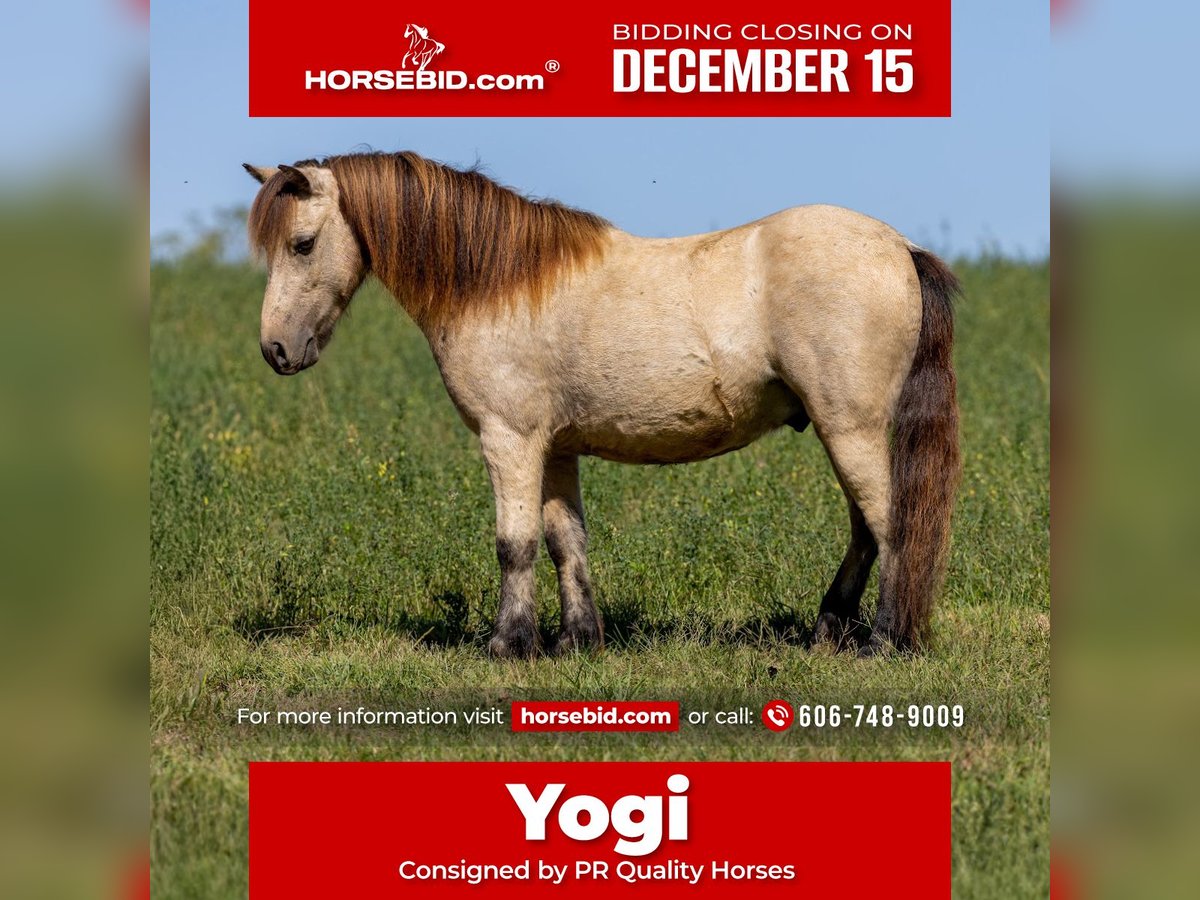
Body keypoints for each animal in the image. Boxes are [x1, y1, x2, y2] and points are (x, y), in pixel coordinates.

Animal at [242, 151, 961, 659]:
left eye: (302, 243)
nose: (276, 349)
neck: (496, 284)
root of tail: (900, 247)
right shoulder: (555, 446)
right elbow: (566, 541)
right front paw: (576, 640)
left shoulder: (509, 439)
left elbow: (514, 543)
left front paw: (508, 644)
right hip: (845, 432)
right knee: (866, 529)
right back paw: (829, 630)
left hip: (851, 428)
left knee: (891, 525)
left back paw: (882, 642)